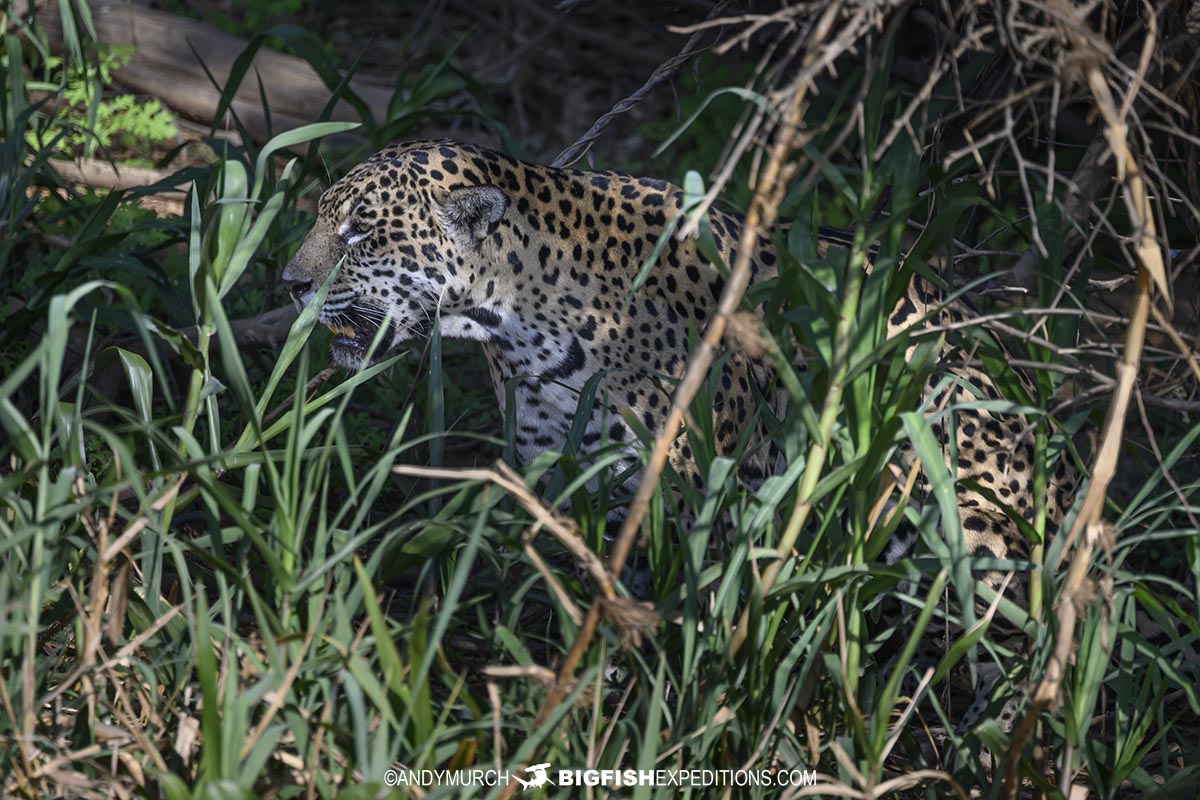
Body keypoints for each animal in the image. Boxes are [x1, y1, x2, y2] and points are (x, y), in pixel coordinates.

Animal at [281, 138, 1080, 728]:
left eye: (362, 232)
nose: (290, 284)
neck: (518, 325)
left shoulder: (702, 490)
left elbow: (698, 617)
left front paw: (680, 716)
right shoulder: (584, 488)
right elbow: (613, 604)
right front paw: (595, 701)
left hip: (965, 524)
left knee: (1015, 653)